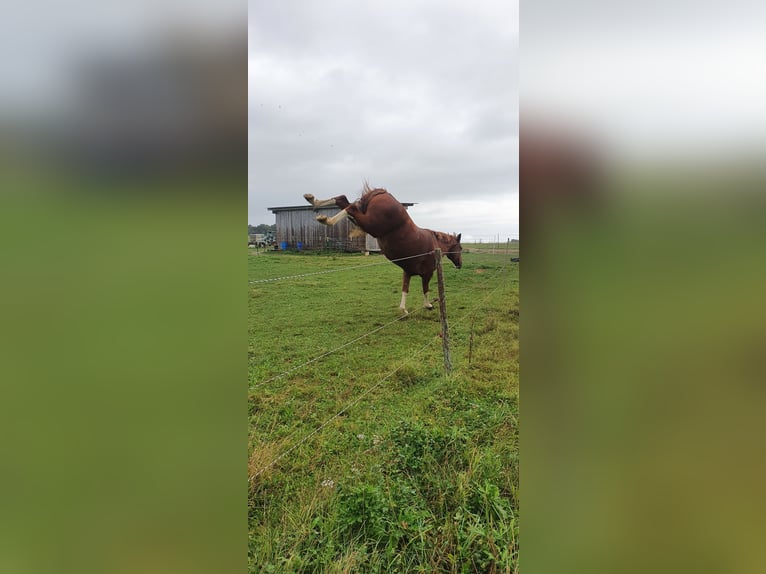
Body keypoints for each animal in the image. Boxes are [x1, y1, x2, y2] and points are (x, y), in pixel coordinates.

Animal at [304, 186, 462, 316]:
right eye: (460, 248)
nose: (460, 265)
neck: (435, 243)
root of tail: (382, 193)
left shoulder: (408, 272)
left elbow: (405, 289)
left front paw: (403, 309)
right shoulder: (427, 274)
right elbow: (425, 289)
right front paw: (427, 305)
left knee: (344, 201)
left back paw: (313, 201)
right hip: (371, 225)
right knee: (351, 209)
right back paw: (325, 219)